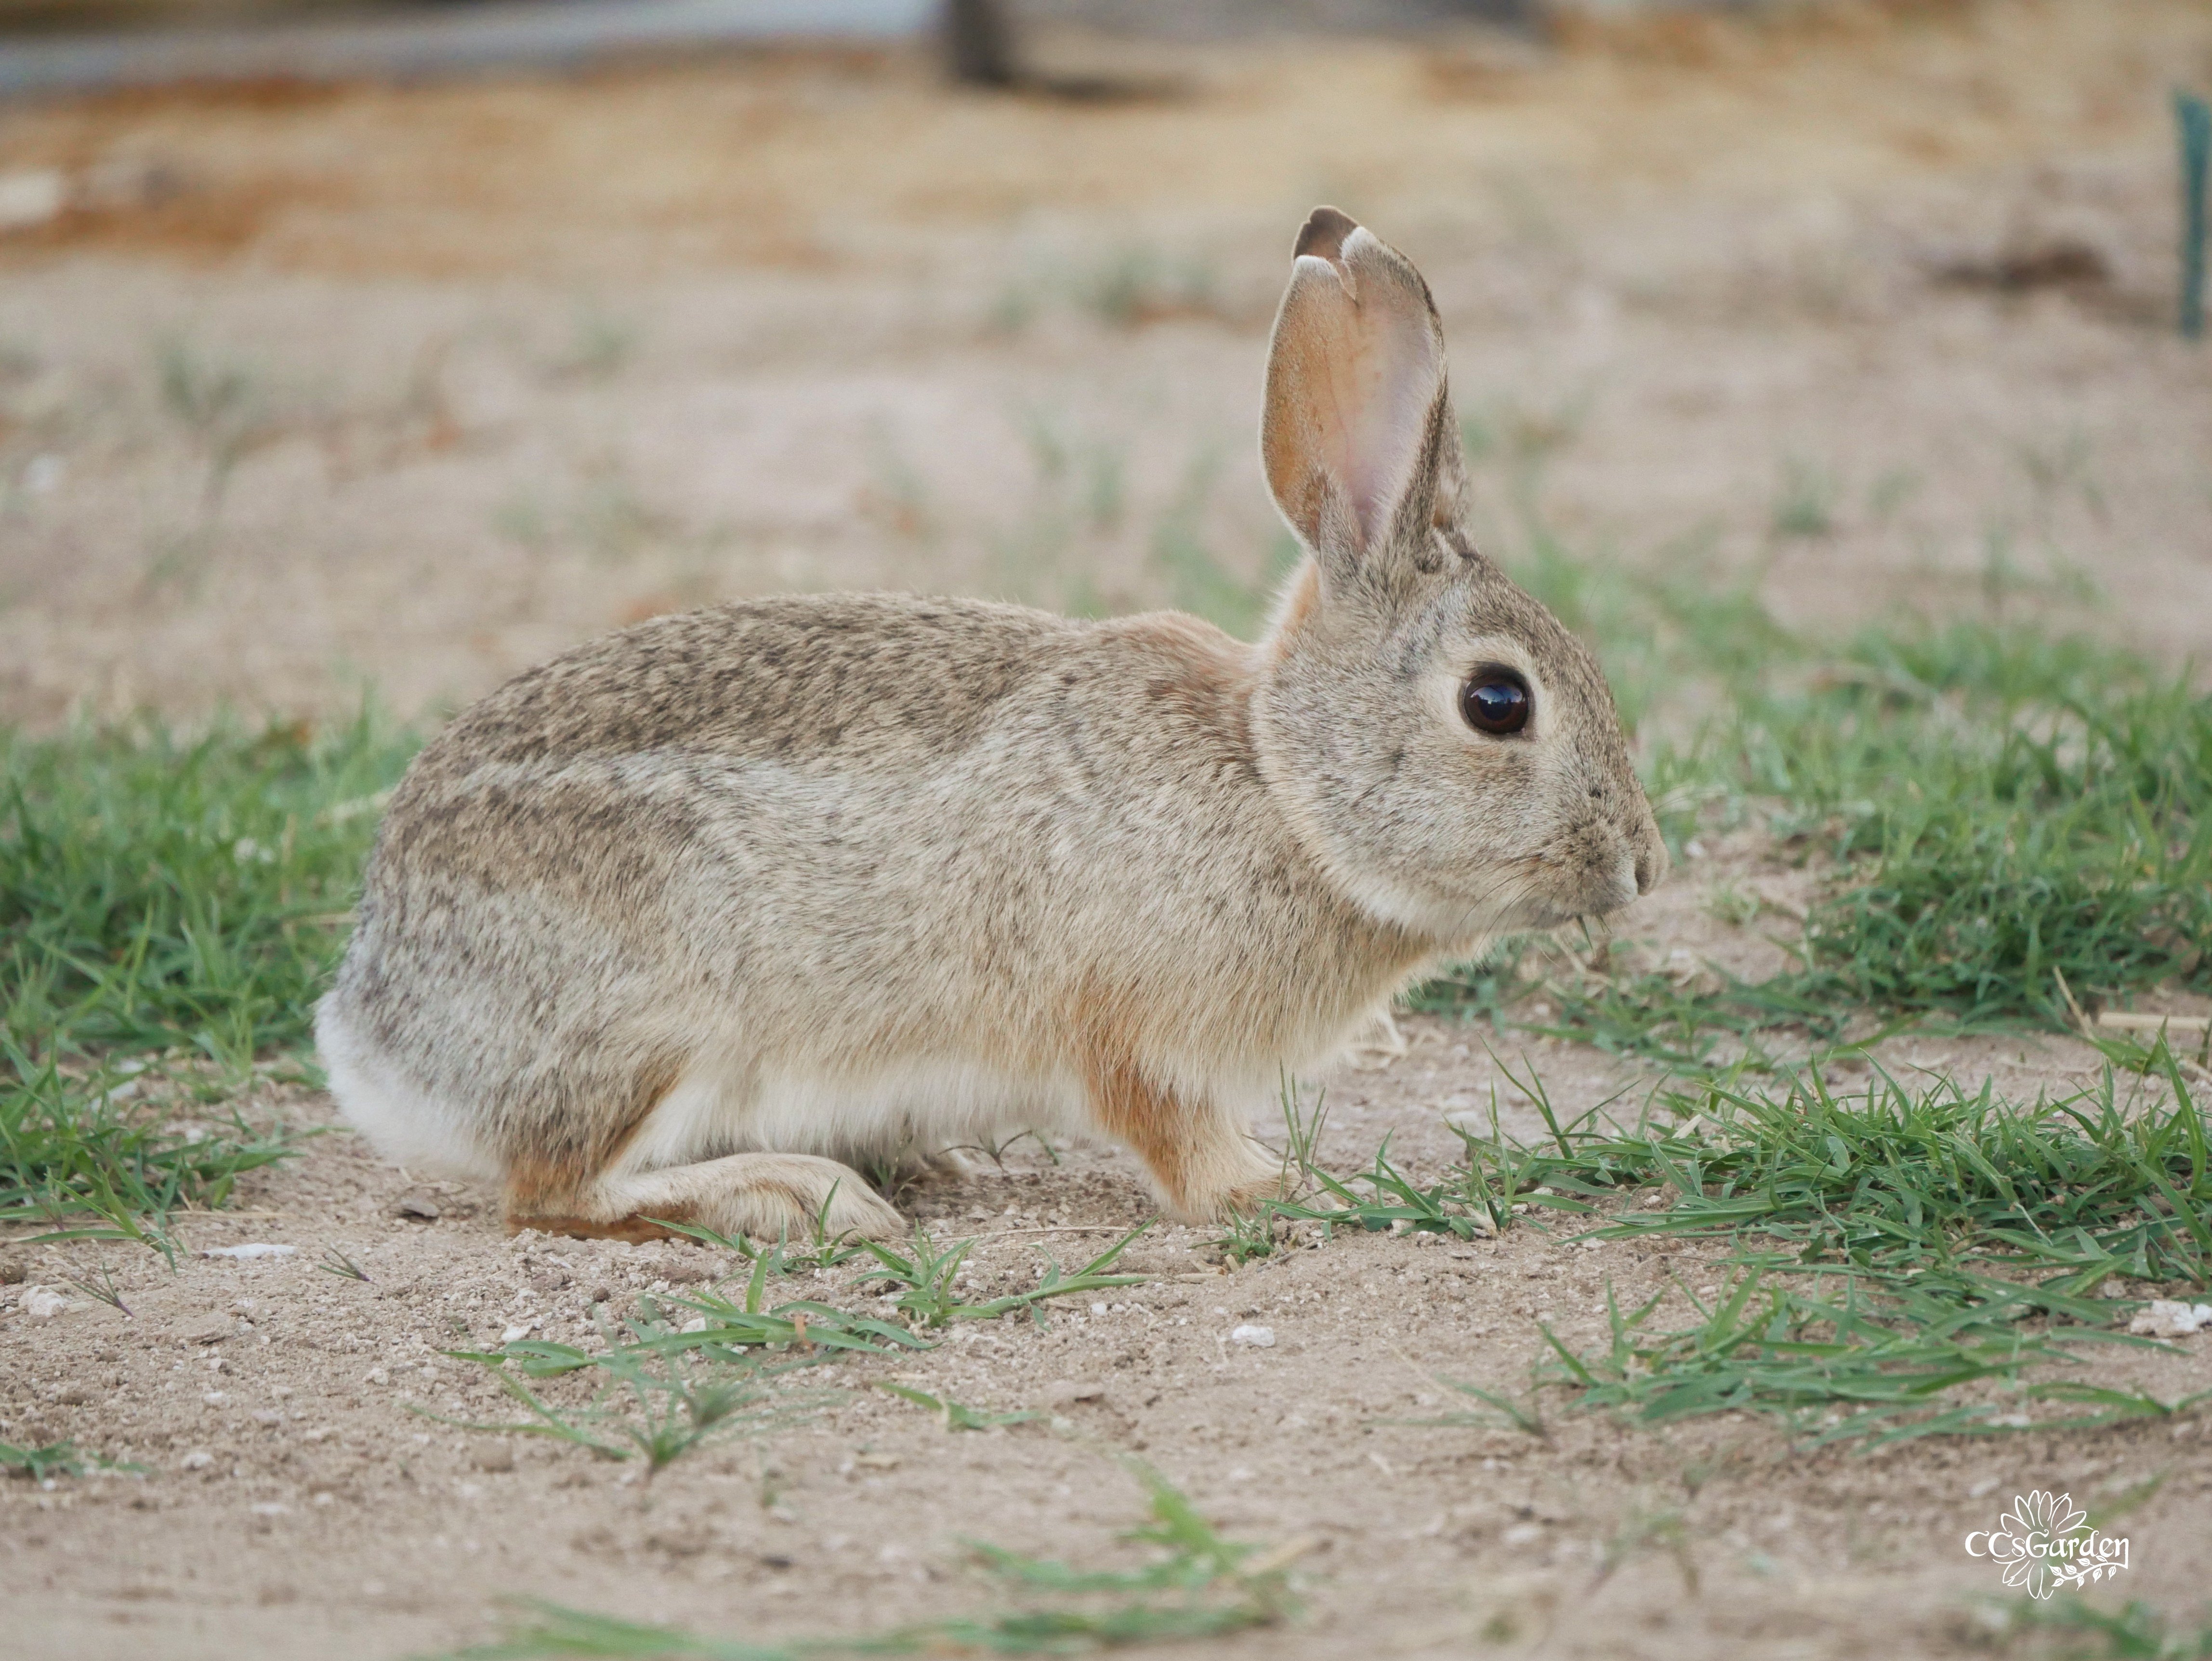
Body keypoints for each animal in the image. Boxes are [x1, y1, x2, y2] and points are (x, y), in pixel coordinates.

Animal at [315, 206, 1666, 1245]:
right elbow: (1175, 1139)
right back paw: (802, 1196)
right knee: (554, 1192)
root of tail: (373, 1021)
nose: (1643, 865)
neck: (1283, 787)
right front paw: (1277, 1192)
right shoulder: (1128, 1027)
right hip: (655, 1021)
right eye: (1497, 702)